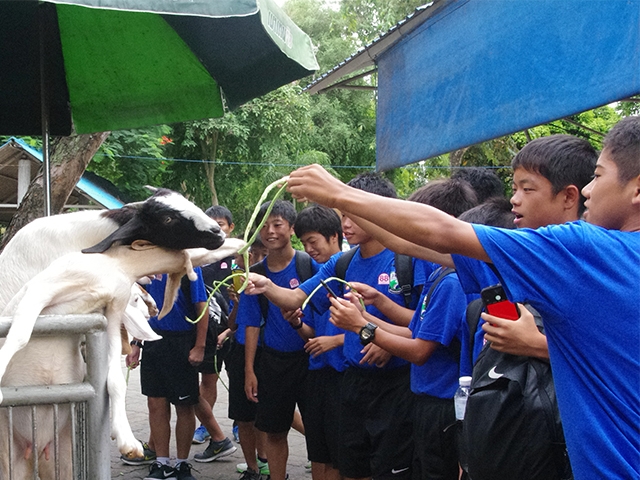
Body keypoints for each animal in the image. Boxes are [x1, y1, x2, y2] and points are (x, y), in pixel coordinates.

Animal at [0, 238, 245, 480]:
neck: (115, 265)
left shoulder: (110, 312)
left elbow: (115, 381)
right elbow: (21, 335)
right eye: (137, 298)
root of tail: (33, 449)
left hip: (59, 456)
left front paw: (128, 443)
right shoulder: (43, 289)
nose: (153, 309)